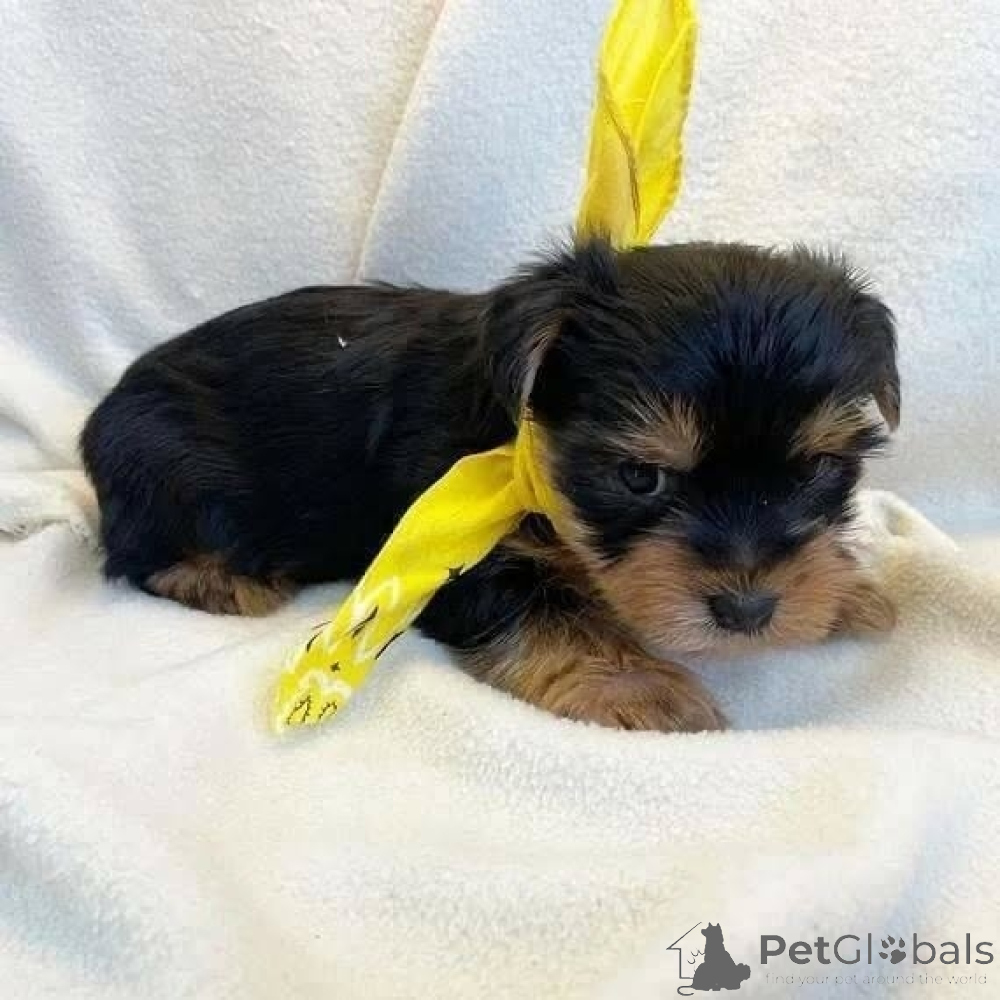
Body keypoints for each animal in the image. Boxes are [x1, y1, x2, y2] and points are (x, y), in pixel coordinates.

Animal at [81, 238, 900, 733]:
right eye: (639, 477)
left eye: (818, 470)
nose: (749, 609)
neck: (523, 447)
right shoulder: (455, 557)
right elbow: (551, 614)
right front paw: (638, 688)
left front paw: (844, 593)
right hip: (167, 468)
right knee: (138, 551)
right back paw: (226, 580)